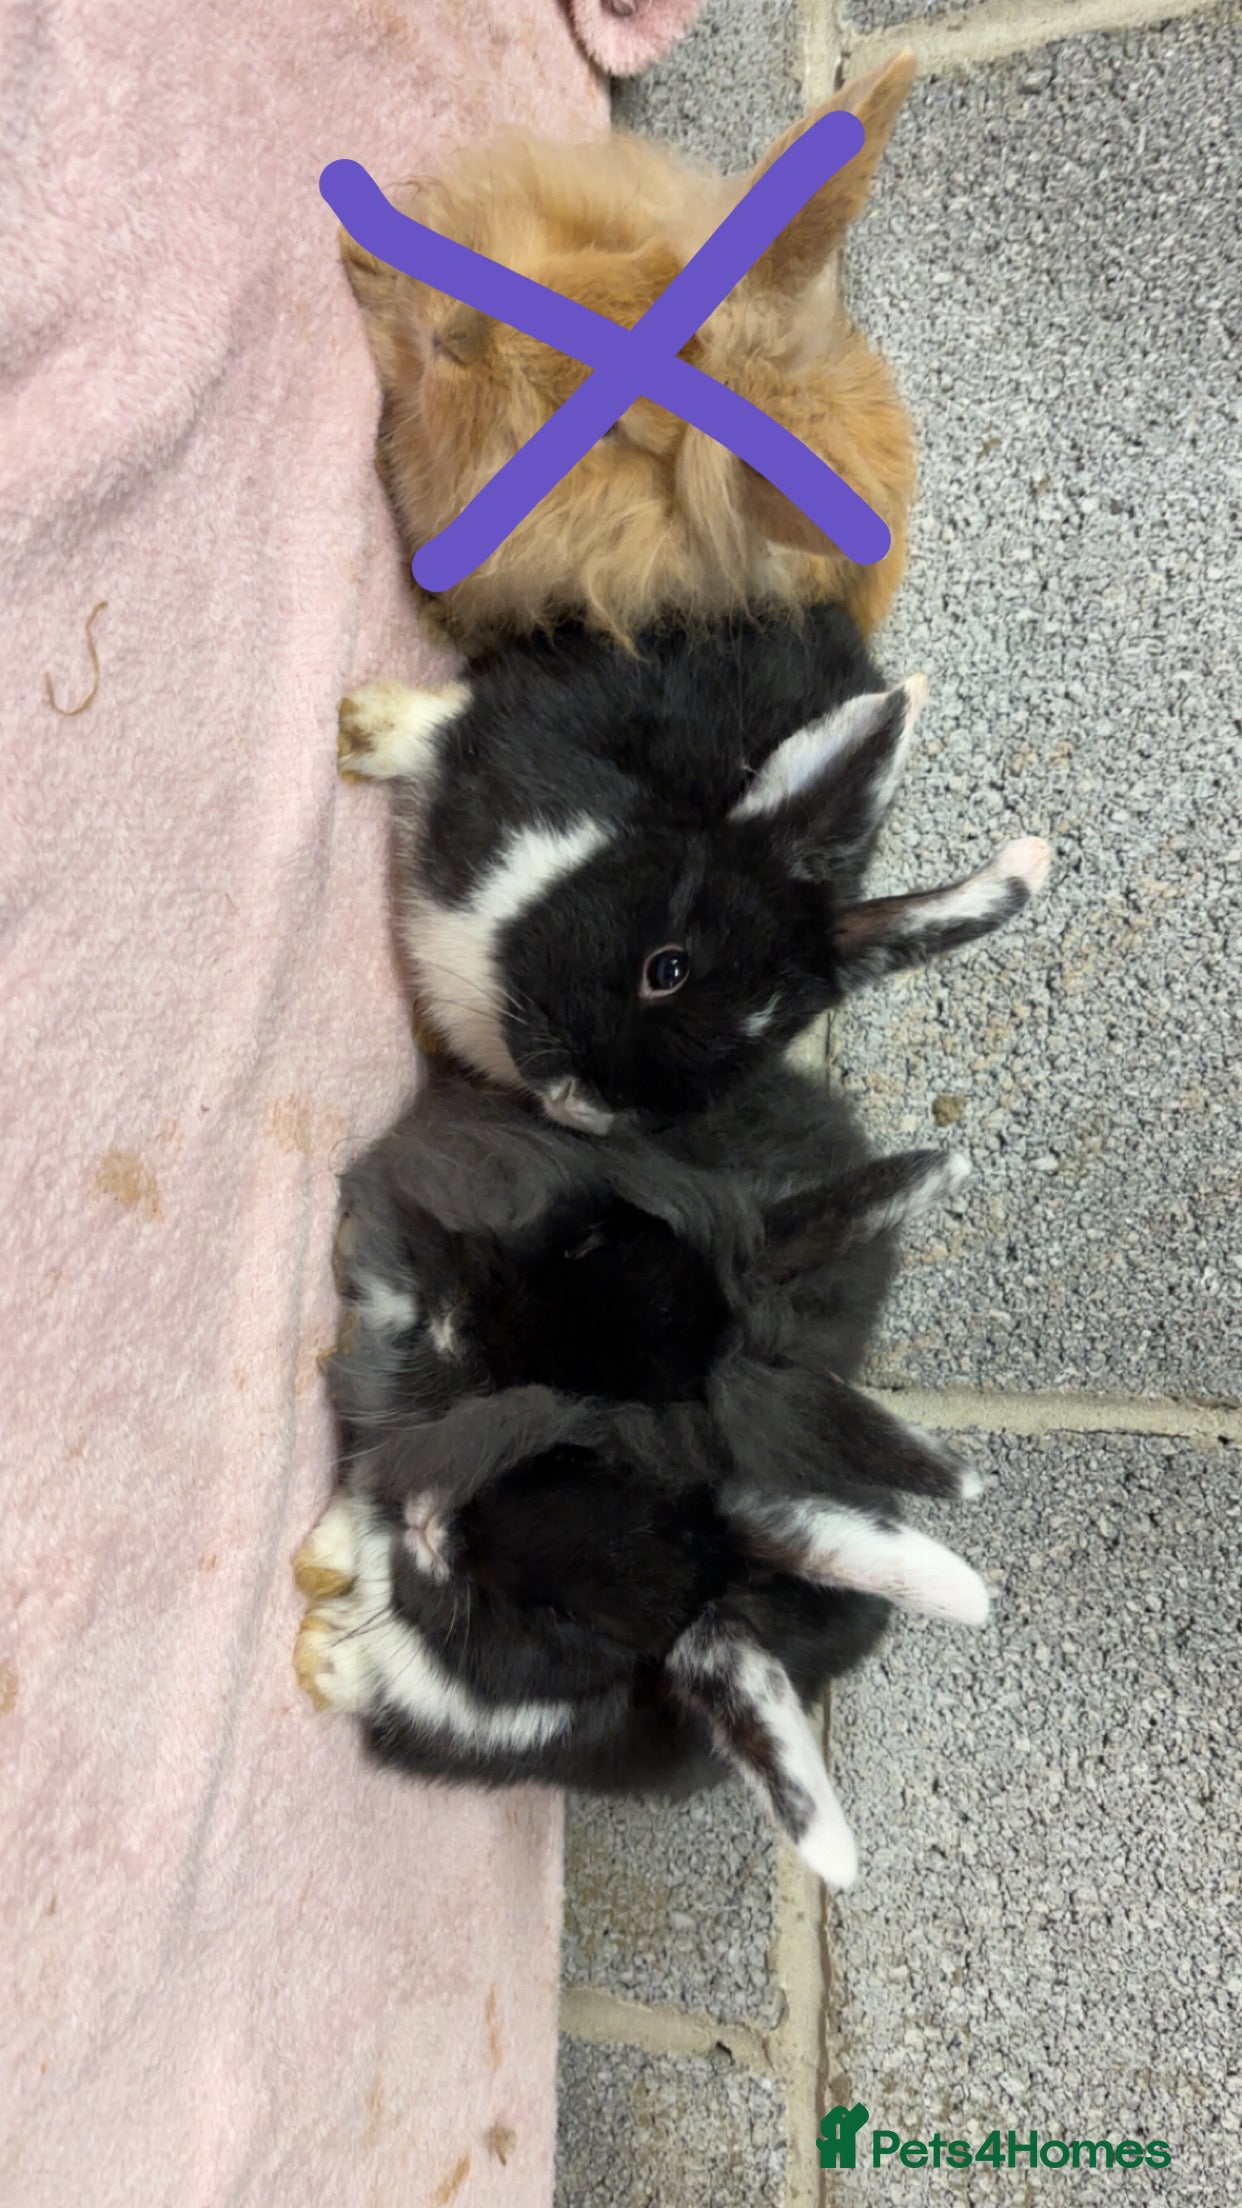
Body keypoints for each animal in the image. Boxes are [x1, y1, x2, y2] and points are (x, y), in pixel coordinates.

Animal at [335, 601, 1050, 1130]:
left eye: (762, 1047)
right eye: (668, 967)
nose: (585, 1104)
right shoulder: (520, 713)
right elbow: (439, 725)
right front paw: (360, 731)